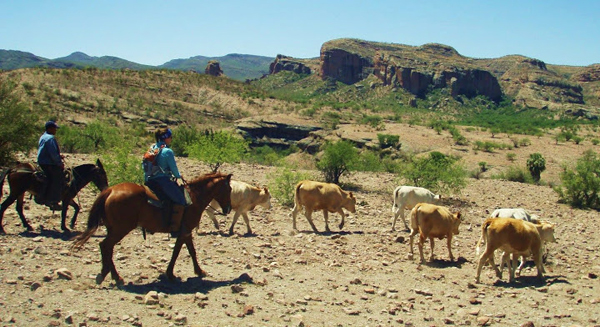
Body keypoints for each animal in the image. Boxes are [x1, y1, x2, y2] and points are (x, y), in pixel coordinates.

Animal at [72, 173, 232, 286]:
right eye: (229, 189)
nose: (228, 209)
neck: (194, 198)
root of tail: (110, 190)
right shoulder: (184, 231)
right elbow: (177, 252)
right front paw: (171, 274)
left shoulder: (185, 232)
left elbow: (190, 251)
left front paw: (198, 271)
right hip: (120, 229)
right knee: (106, 246)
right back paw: (112, 276)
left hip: (113, 229)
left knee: (106, 247)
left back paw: (111, 275)